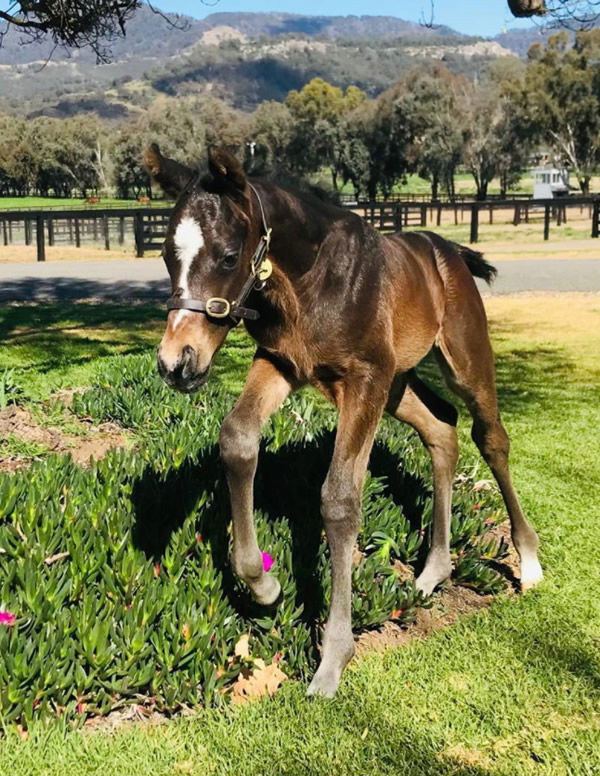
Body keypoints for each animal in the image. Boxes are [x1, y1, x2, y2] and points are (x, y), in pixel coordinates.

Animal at [145, 144, 544, 696]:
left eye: (227, 256)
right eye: (165, 256)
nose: (177, 363)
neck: (311, 281)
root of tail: (447, 251)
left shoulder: (363, 380)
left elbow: (338, 500)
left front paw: (333, 658)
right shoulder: (282, 363)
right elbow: (237, 439)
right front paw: (265, 586)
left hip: (460, 361)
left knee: (489, 436)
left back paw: (528, 560)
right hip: (397, 385)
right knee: (442, 427)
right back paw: (433, 570)